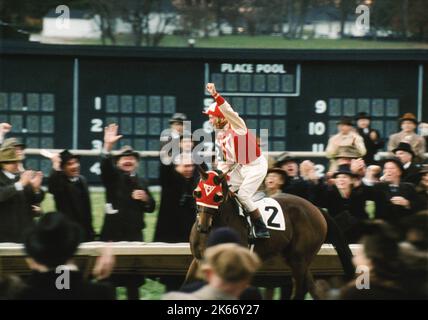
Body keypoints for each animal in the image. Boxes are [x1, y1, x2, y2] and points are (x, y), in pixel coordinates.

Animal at [186, 168, 352, 300]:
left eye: (218, 196)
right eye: (197, 193)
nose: (203, 226)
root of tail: (316, 209)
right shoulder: (199, 259)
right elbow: (188, 282)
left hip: (299, 257)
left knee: (300, 287)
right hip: (298, 258)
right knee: (311, 286)